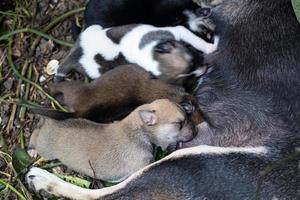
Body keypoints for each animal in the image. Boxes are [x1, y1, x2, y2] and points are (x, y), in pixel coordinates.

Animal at [28, 99, 197, 182]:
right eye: (179, 123)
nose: (195, 130)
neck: (139, 131)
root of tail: (50, 122)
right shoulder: (143, 166)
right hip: (46, 148)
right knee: (35, 136)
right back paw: (31, 149)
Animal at [54, 23, 218, 82]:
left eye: (192, 60)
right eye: (189, 77)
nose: (204, 69)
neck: (150, 52)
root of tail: (74, 54)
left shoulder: (178, 31)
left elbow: (195, 40)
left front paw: (210, 47)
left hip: (94, 27)